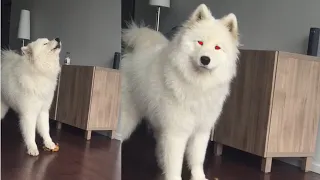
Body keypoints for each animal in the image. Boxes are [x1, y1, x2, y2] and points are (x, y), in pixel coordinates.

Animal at [120, 3, 240, 180]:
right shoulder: (176, 132)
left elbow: (197, 159)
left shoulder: (201, 131)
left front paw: (199, 177)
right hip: (128, 116)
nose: (205, 59)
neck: (198, 84)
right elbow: (175, 163)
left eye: (217, 47)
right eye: (199, 42)